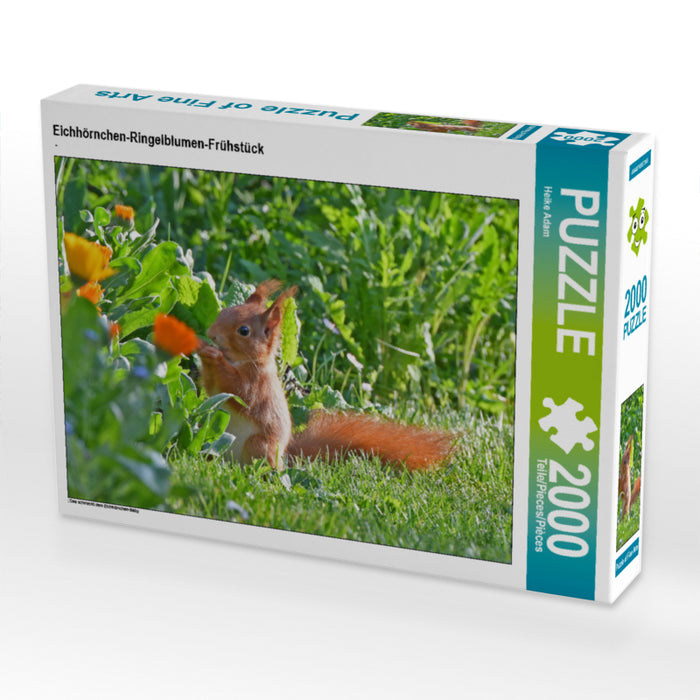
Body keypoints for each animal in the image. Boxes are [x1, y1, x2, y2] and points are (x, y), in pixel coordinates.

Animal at [197, 280, 455, 471]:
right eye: (225, 311)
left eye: (244, 331)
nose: (211, 333)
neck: (244, 362)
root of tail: (285, 458)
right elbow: (213, 389)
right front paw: (203, 352)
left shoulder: (258, 387)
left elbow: (240, 393)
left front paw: (215, 357)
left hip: (259, 445)